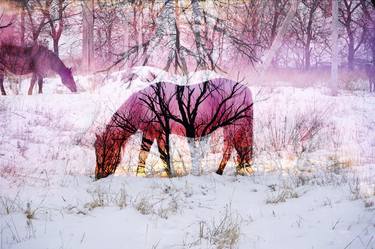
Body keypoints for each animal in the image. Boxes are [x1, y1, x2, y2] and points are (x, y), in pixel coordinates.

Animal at [94, 79, 254, 178]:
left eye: (104, 150)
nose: (98, 176)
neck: (142, 105)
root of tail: (245, 89)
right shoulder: (152, 133)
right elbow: (148, 154)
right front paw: (144, 174)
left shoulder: (158, 132)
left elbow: (159, 154)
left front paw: (164, 174)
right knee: (239, 148)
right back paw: (240, 169)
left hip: (233, 126)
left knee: (232, 148)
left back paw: (222, 171)